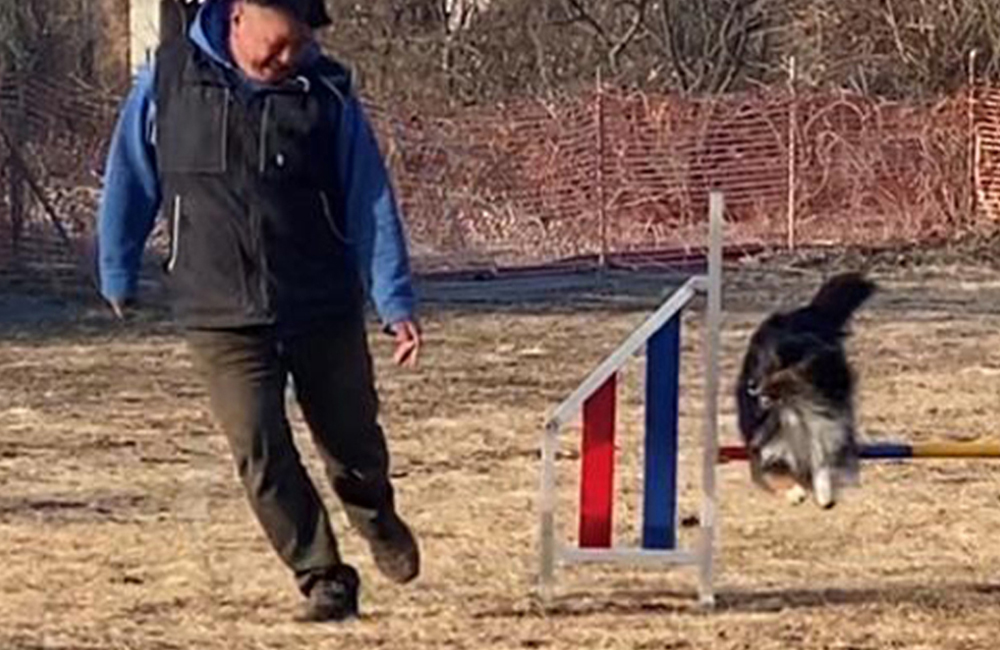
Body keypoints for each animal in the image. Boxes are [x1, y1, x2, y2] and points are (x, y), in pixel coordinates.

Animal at [735, 272, 876, 509]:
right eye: (760, 362)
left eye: (779, 366)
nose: (751, 386)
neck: (796, 405)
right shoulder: (767, 445)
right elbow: (775, 470)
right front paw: (795, 492)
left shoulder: (828, 427)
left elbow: (822, 462)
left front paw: (824, 493)